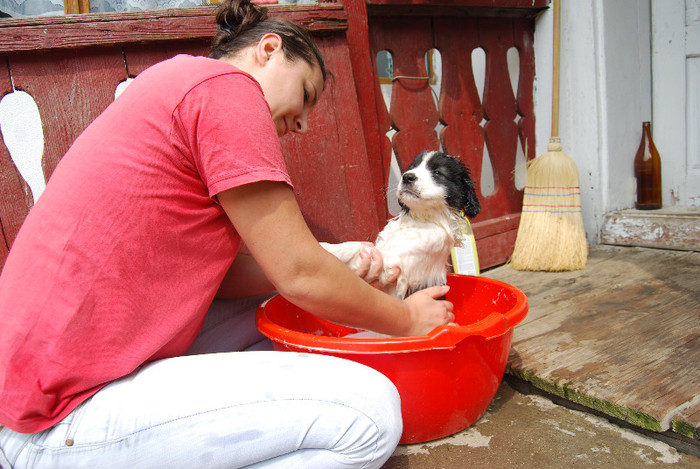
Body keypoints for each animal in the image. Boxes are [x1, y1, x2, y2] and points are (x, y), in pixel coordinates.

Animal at [324, 150, 482, 296]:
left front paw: (327, 248)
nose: (407, 177)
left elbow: (359, 248)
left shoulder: (395, 261)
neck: (417, 220)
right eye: (412, 167)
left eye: (437, 172)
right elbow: (356, 245)